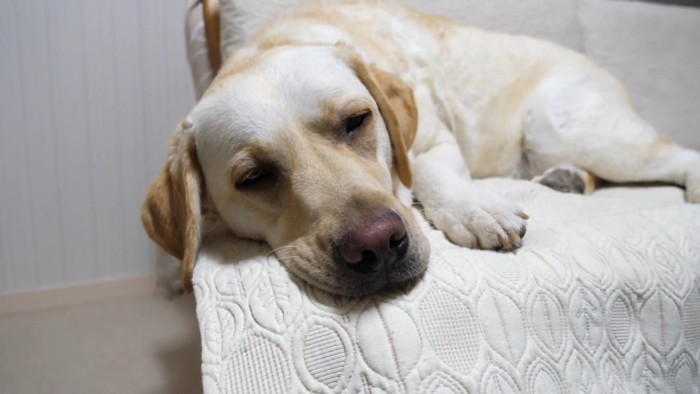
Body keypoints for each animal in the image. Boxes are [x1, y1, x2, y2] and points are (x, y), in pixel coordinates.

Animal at [141, 2, 700, 296]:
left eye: (357, 121)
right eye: (253, 178)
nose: (375, 247)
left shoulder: (432, 139)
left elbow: (424, 172)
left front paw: (475, 208)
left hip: (566, 127)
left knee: (681, 157)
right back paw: (567, 179)